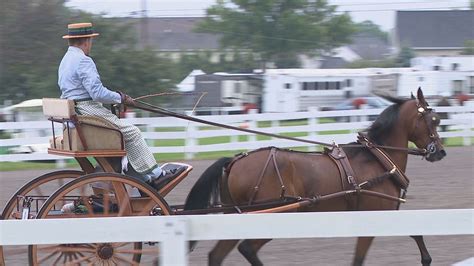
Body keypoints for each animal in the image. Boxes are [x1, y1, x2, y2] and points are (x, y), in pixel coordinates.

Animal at [184, 88, 444, 264]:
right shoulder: (373, 218)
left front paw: (427, 258)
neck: (377, 160)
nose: (440, 151)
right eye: (433, 120)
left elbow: (416, 232)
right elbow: (359, 259)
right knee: (247, 248)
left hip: (236, 217)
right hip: (275, 215)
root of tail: (234, 161)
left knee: (217, 255)